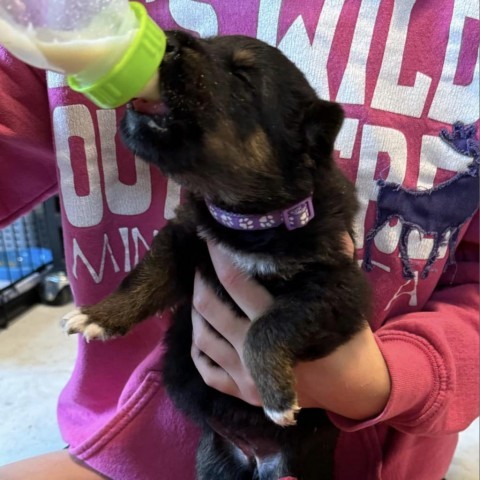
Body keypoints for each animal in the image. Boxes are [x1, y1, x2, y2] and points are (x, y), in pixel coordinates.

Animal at [62, 31, 372, 480]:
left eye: (242, 76)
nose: (170, 41)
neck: (247, 220)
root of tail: (256, 457)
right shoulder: (183, 239)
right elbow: (144, 278)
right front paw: (99, 316)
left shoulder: (337, 287)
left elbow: (270, 325)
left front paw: (276, 395)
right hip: (216, 459)